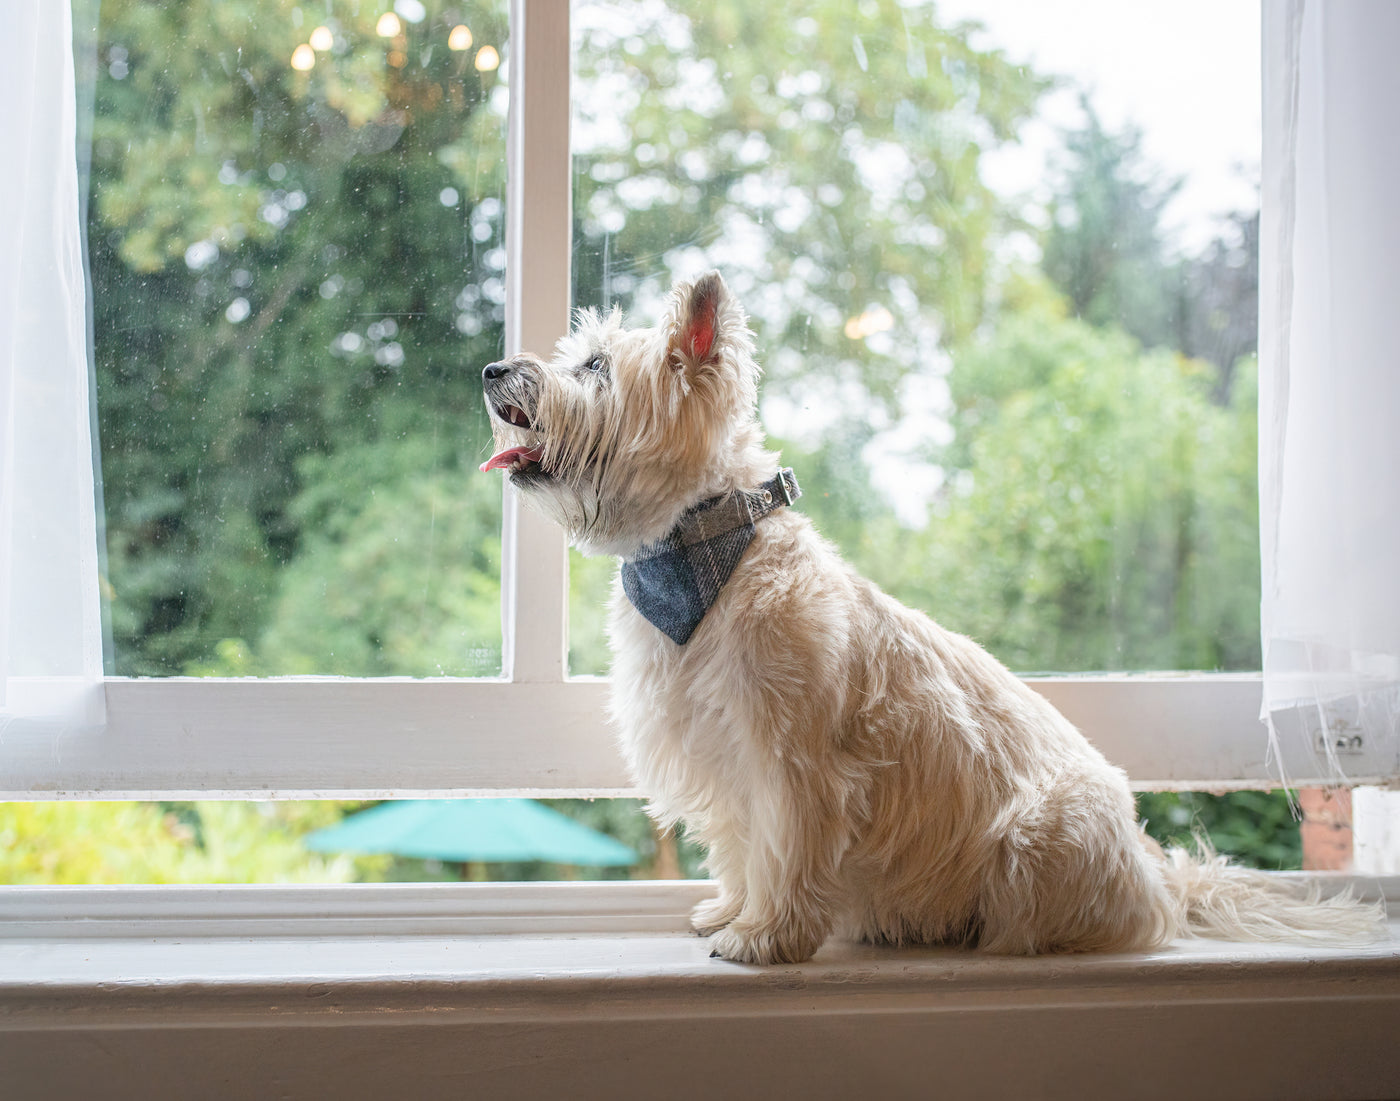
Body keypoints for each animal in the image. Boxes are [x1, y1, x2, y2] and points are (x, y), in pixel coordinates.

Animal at [478, 270, 1377, 958]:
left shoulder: (793, 761)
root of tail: (1161, 875)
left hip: (1036, 839)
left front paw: (766, 937)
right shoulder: (720, 758)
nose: (491, 369)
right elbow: (741, 847)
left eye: (594, 365)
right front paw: (732, 911)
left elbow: (784, 851)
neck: (703, 552)